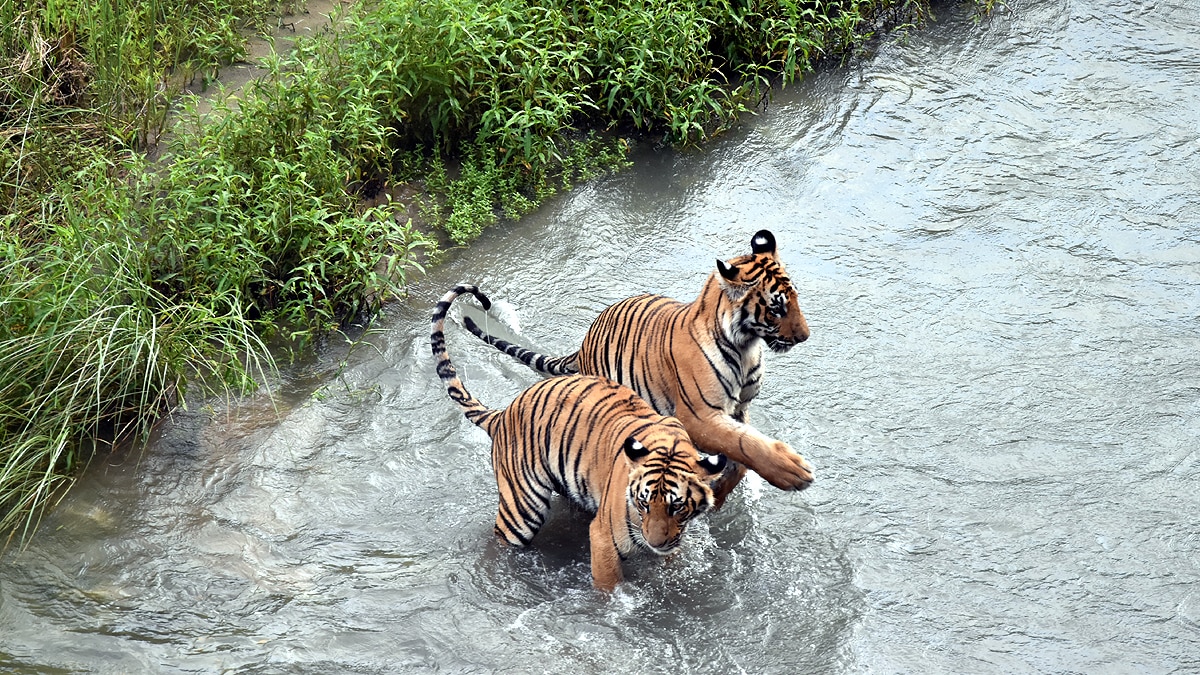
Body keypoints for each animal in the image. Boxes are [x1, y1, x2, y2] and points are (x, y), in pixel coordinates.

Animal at [432, 284, 728, 592]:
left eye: (677, 507)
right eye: (644, 503)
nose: (654, 542)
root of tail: (502, 415)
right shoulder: (603, 536)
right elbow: (608, 588)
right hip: (521, 511)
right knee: (502, 538)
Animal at [459, 229, 813, 508]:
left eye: (795, 299)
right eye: (777, 307)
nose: (805, 337)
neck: (746, 348)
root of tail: (583, 345)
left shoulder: (739, 408)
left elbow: (741, 456)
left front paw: (722, 491)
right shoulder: (698, 417)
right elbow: (743, 442)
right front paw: (793, 471)